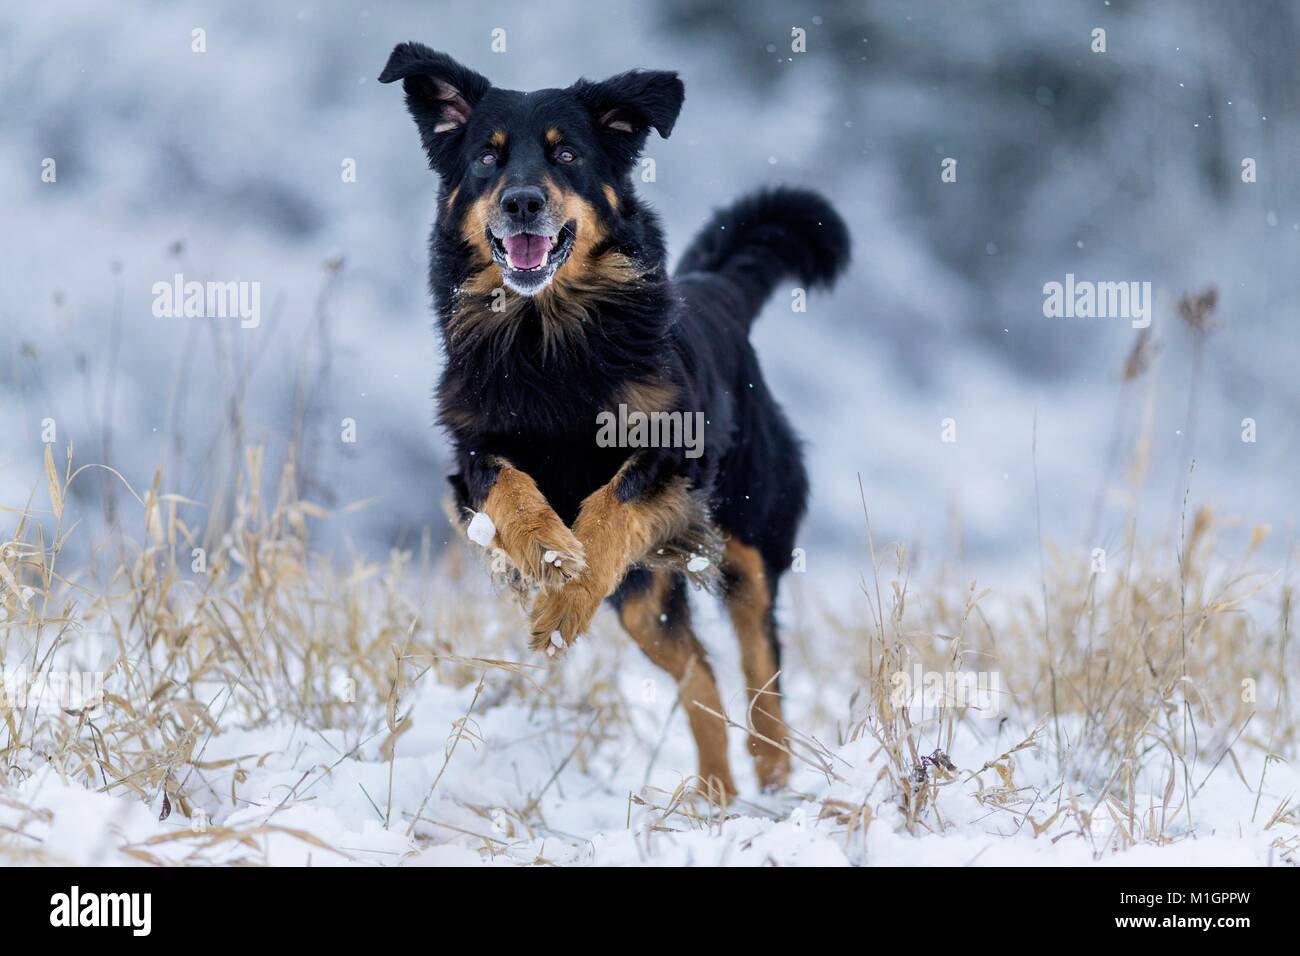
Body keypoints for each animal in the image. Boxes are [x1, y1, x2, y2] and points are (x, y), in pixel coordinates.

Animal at [379, 41, 847, 796]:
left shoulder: (672, 454)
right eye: (486, 158)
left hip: (748, 533)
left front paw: (561, 597)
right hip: (641, 600)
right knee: (700, 676)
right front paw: (545, 555)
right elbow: (512, 490)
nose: (523, 201)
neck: (546, 334)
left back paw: (775, 773)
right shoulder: (472, 452)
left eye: (567, 154)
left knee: (759, 663)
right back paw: (715, 795)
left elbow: (608, 509)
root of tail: (717, 289)